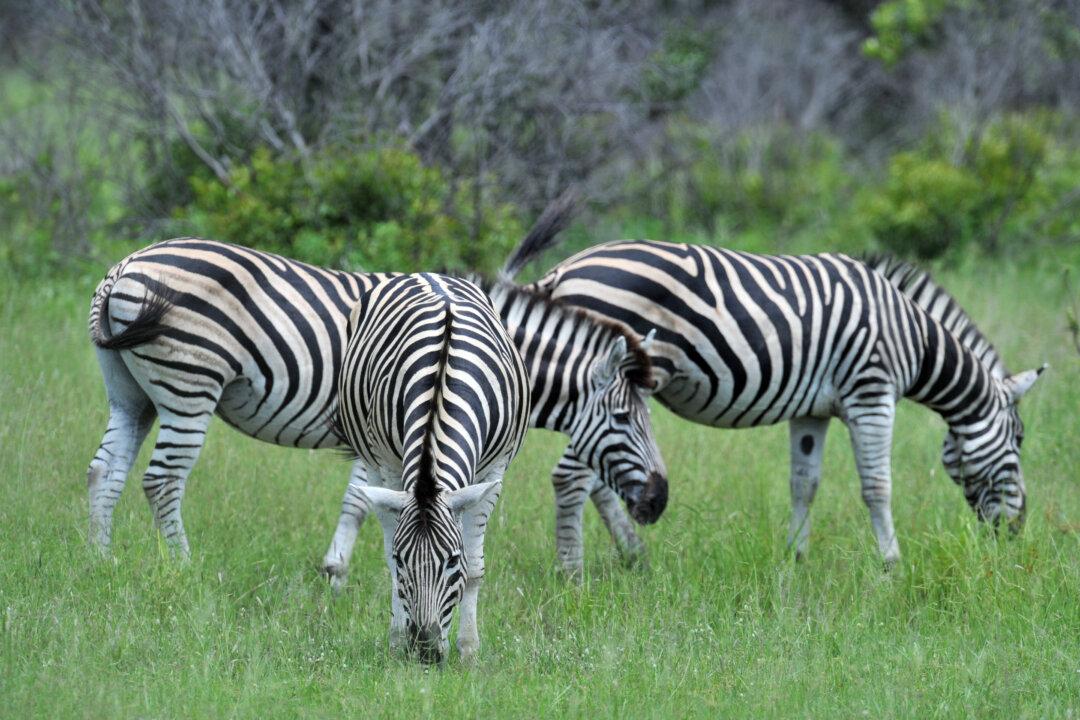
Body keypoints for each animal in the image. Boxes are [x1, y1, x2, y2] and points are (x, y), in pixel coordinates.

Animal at [85, 235, 666, 576]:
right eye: (623, 419)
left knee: (104, 470)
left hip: (131, 395)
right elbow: (364, 502)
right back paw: (184, 568)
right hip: (190, 383)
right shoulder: (387, 427)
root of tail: (122, 268)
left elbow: (361, 500)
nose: (658, 503)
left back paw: (101, 561)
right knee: (161, 480)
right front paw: (338, 575)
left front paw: (334, 572)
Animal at [330, 272, 529, 664]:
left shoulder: (493, 474)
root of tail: (429, 273)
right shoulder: (390, 469)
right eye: (403, 560)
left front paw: (469, 651)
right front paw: (396, 642)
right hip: (372, 462)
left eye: (452, 561)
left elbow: (476, 567)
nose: (424, 651)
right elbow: (390, 565)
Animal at [504, 238, 1045, 564]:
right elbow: (877, 486)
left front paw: (795, 558)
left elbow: (804, 484)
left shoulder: (811, 411)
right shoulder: (871, 392)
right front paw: (892, 564)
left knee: (596, 478)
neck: (909, 333)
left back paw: (634, 556)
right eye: (1020, 439)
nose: (1017, 531)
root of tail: (562, 271)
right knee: (574, 477)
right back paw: (587, 568)